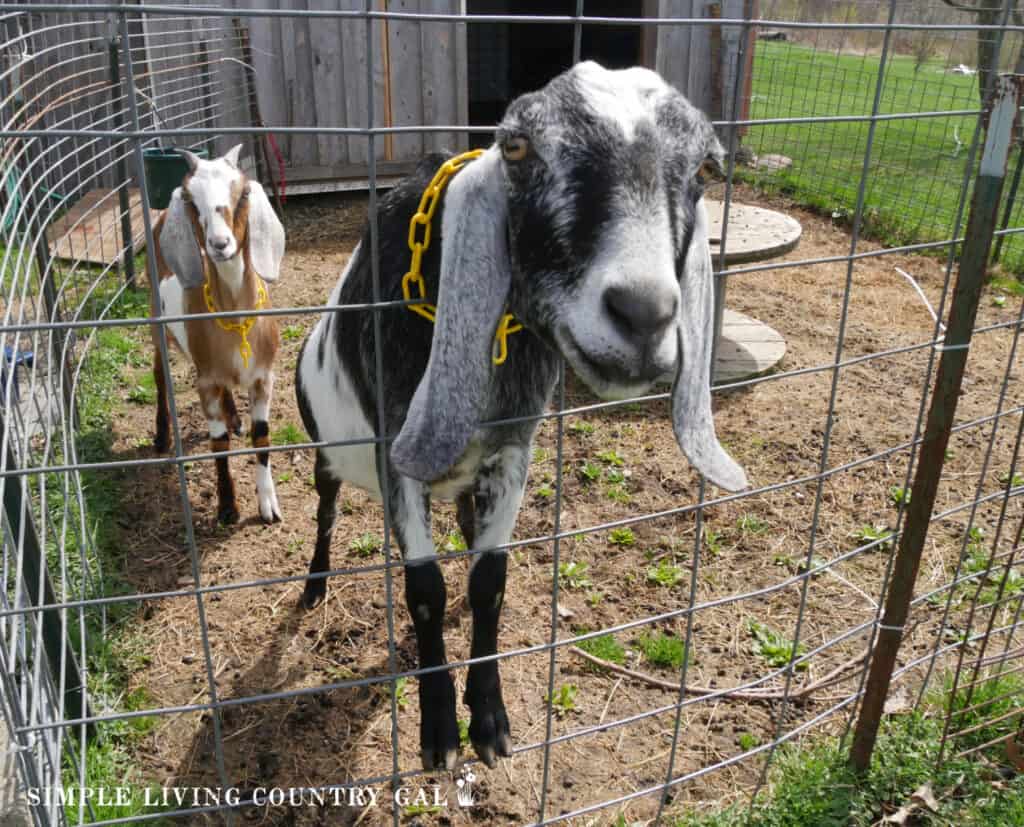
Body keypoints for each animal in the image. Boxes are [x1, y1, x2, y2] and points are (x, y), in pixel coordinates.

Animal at [148, 143, 286, 524]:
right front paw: (227, 507)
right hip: (155, 321)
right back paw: (162, 436)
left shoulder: (263, 377)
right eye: (191, 199)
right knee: (159, 376)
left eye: (243, 193)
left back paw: (235, 416)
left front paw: (268, 505)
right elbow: (219, 444)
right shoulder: (205, 383)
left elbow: (262, 436)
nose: (220, 243)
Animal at [292, 62, 749, 769]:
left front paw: (488, 718)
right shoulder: (397, 454)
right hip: (325, 451)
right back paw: (315, 585)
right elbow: (425, 592)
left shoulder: (512, 449)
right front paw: (438, 731)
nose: (644, 314)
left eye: (704, 168)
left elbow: (488, 581)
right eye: (516, 147)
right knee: (325, 510)